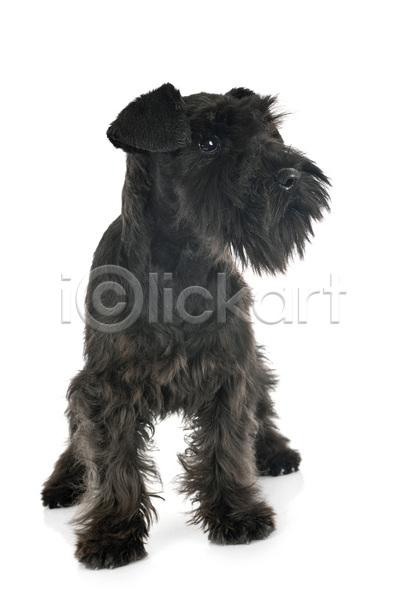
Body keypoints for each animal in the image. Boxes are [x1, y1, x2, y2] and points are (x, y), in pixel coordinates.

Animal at [42, 83, 330, 569]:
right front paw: (112, 533)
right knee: (77, 439)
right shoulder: (108, 388)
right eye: (208, 143)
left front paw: (236, 514)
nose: (291, 175)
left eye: (269, 132)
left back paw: (275, 452)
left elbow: (227, 446)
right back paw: (64, 481)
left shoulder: (230, 371)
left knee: (262, 408)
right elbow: (113, 460)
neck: (179, 263)